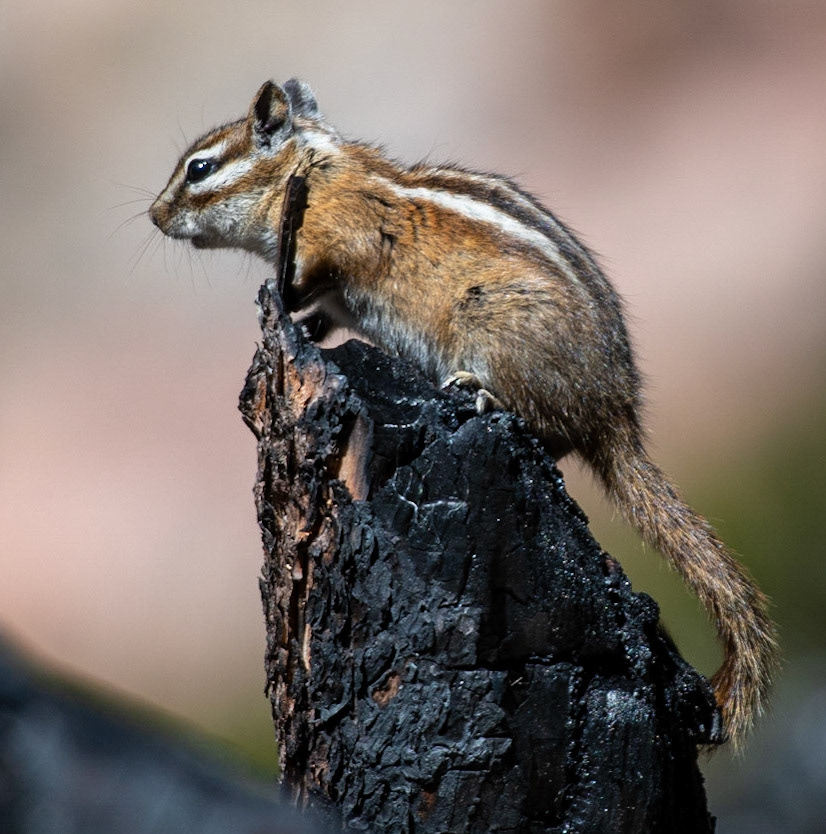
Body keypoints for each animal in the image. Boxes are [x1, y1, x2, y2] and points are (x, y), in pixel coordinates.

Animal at [150, 78, 777, 748]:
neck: (312, 167)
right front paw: (303, 322)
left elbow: (310, 274)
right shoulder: (341, 296)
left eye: (200, 168)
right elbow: (320, 312)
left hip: (493, 326)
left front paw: (281, 287)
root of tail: (617, 417)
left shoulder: (336, 237)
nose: (156, 216)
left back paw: (480, 391)